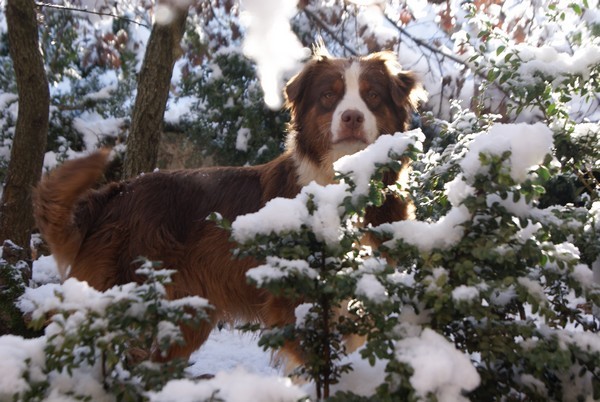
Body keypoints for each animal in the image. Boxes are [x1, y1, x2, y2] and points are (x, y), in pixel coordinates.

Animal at [34, 48, 426, 366]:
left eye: (372, 96)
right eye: (329, 96)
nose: (352, 118)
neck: (345, 188)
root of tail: (114, 193)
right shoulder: (293, 301)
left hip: (186, 317)